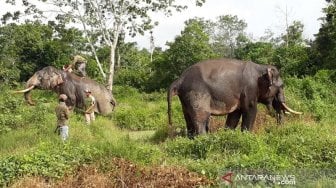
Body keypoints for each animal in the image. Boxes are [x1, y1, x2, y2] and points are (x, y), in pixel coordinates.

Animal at [168, 58, 302, 138]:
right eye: (281, 86)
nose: (278, 129)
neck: (260, 68)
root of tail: (179, 80)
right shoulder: (249, 89)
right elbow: (251, 110)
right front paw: (247, 137)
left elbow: (234, 115)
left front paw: (229, 134)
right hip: (197, 94)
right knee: (201, 118)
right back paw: (205, 139)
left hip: (185, 99)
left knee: (189, 119)